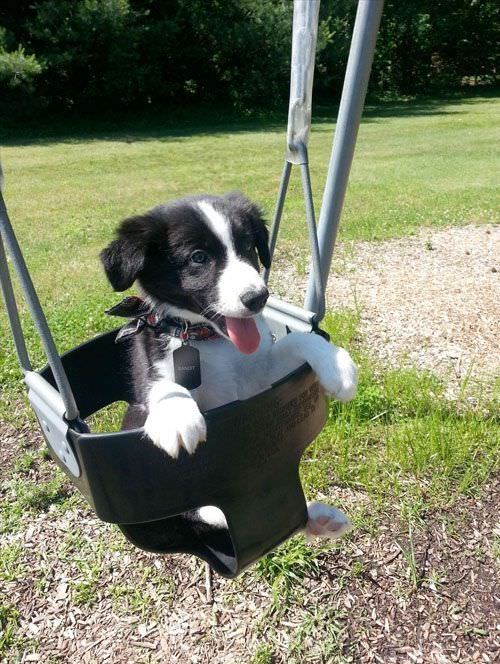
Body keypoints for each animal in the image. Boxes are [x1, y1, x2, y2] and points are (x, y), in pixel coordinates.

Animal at [101, 193, 358, 540]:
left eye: (248, 246)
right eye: (198, 257)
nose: (258, 298)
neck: (209, 340)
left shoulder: (259, 379)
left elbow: (294, 340)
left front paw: (336, 364)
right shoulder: (153, 370)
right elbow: (162, 383)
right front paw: (176, 415)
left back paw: (316, 517)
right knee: (198, 510)